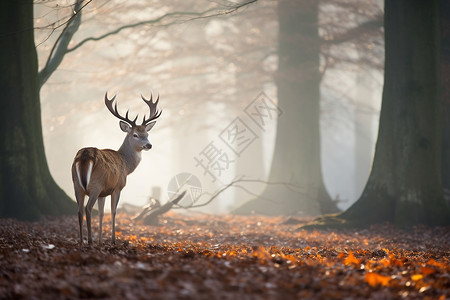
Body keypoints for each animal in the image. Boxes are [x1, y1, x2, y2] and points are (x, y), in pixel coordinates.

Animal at [71, 91, 161, 244]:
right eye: (135, 134)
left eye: (147, 134)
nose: (149, 145)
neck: (126, 164)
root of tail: (85, 155)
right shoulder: (117, 187)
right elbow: (113, 212)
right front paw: (113, 240)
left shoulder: (103, 192)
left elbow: (101, 213)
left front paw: (101, 240)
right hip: (95, 183)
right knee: (88, 208)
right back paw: (89, 241)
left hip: (76, 184)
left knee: (79, 210)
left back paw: (82, 241)